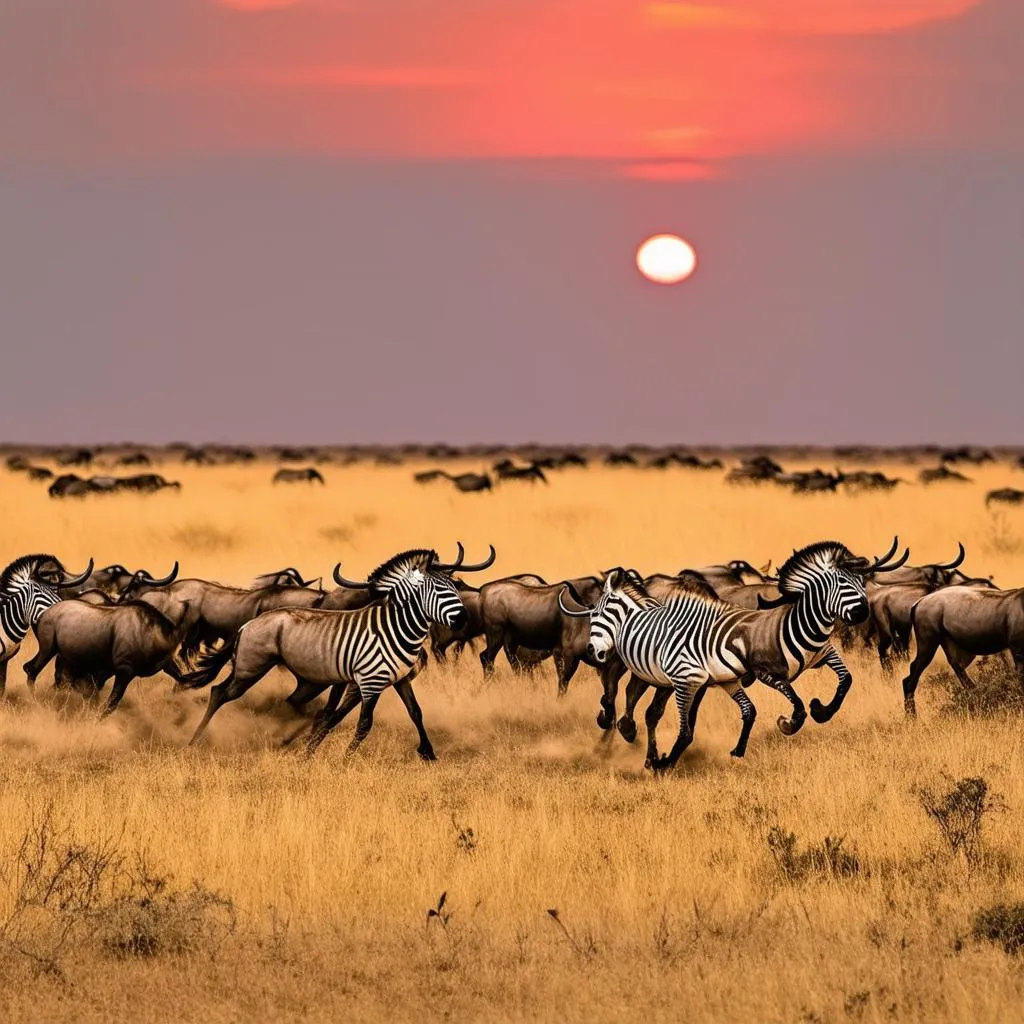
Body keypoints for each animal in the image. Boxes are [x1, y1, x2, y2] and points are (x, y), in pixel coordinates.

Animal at [192, 548, 499, 757]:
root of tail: (248, 624)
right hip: (250, 668)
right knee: (219, 693)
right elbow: (362, 722)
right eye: (434, 589)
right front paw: (345, 758)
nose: (462, 620)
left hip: (305, 680)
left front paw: (428, 752)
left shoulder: (398, 679)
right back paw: (194, 741)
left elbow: (415, 711)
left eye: (454, 586)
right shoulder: (369, 682)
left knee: (288, 704)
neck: (395, 628)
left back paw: (280, 740)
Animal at [565, 540, 909, 770]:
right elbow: (796, 705)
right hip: (634, 665)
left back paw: (632, 737)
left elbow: (845, 679)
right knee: (616, 689)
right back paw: (611, 732)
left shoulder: (823, 655)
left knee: (643, 701)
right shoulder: (767, 673)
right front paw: (789, 723)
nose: (863, 613)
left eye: (861, 582)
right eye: (841, 583)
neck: (798, 623)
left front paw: (823, 710)